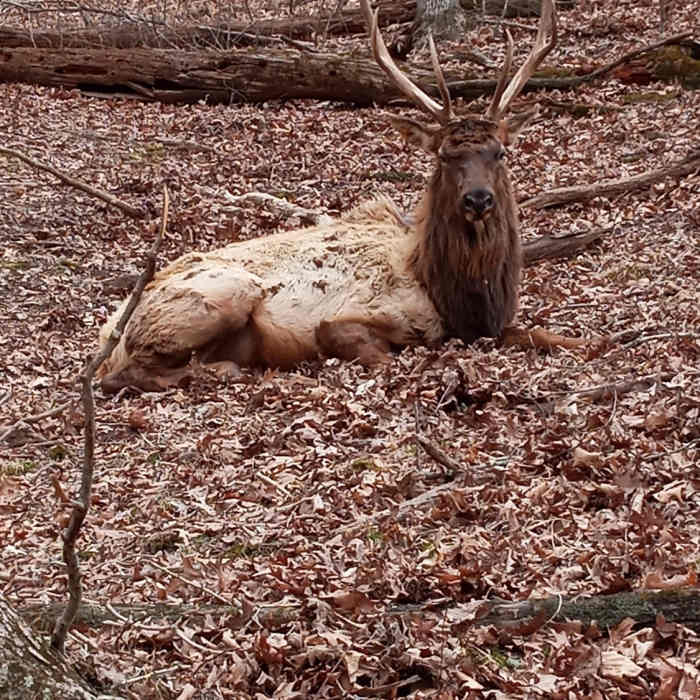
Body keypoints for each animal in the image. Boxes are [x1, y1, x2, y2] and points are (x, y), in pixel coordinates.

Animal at [97, 0, 579, 394]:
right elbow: (374, 350)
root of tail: (110, 332)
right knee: (120, 375)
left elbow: (550, 335)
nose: (478, 200)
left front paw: (585, 341)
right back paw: (220, 370)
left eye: (500, 152)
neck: (455, 298)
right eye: (444, 155)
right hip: (225, 294)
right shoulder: (344, 319)